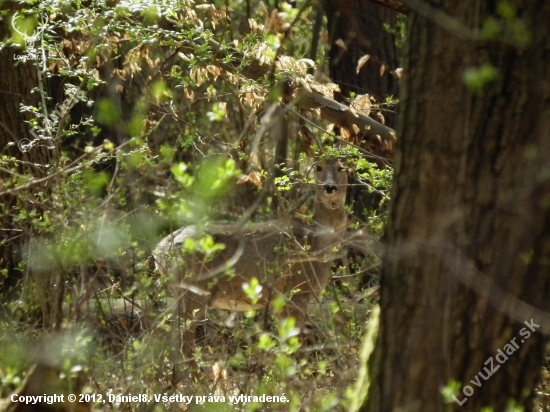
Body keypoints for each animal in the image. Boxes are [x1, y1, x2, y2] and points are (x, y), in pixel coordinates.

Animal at [153, 159, 348, 362]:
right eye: (318, 167)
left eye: (342, 167)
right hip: (193, 292)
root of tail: (159, 250)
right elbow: (295, 345)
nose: (330, 187)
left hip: (175, 294)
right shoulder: (297, 290)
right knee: (183, 342)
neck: (318, 243)